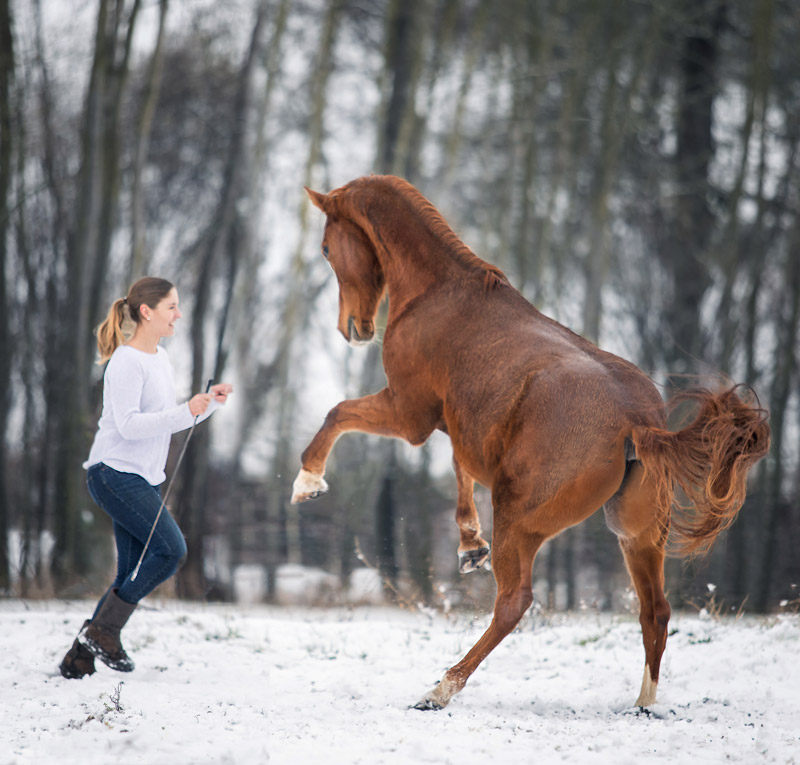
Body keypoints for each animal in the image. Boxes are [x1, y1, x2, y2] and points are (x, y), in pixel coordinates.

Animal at [290, 175, 772, 712]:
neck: (439, 293)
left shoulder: (409, 413)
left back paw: (440, 689)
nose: (352, 329)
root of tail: (639, 425)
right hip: (637, 535)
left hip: (519, 519)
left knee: (514, 602)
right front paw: (469, 546)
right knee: (657, 611)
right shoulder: (456, 425)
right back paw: (643, 703)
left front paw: (307, 481)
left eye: (327, 248)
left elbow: (338, 413)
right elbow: (459, 468)